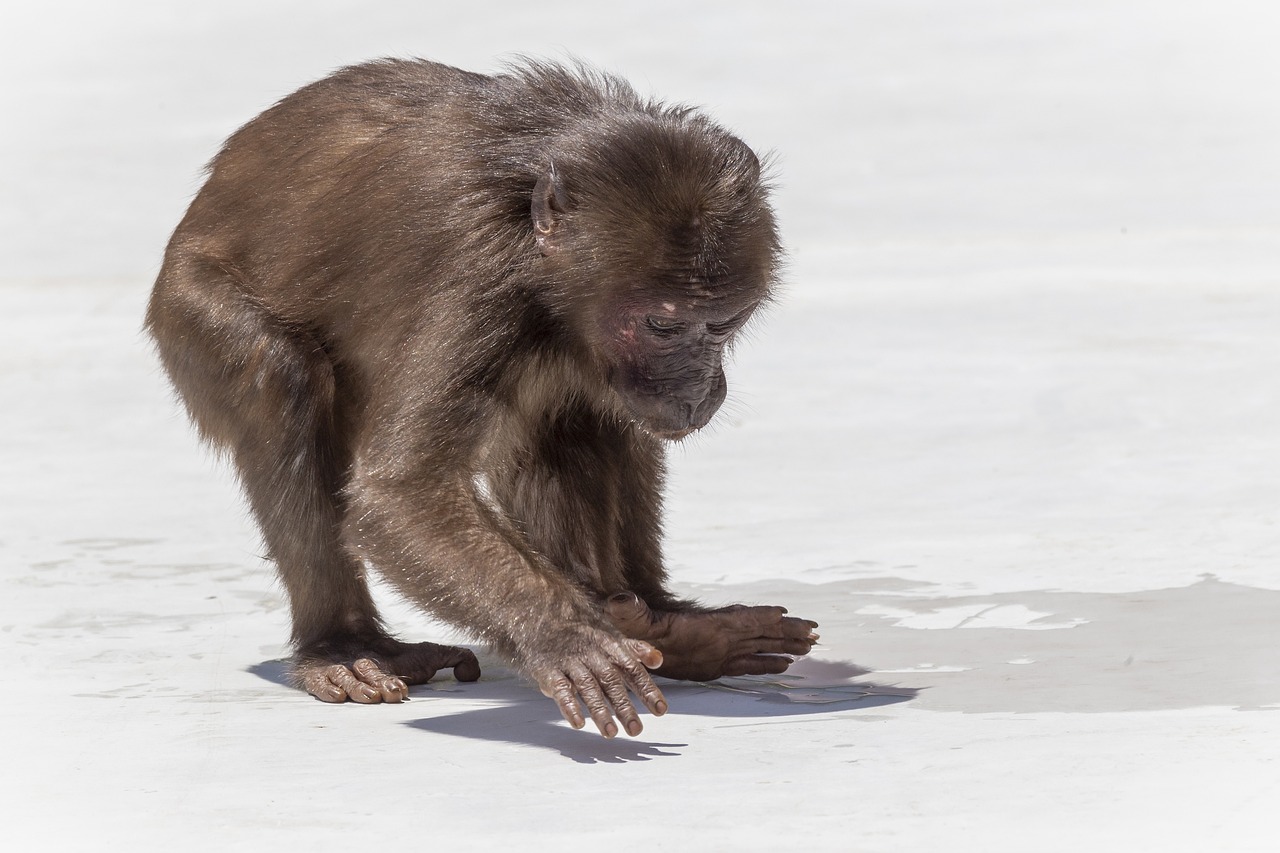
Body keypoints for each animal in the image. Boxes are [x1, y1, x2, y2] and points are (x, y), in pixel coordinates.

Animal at [142, 56, 819, 732]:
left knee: (570, 415)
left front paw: (654, 628)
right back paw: (343, 644)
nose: (697, 387)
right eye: (663, 326)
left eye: (723, 325)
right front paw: (564, 637)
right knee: (279, 376)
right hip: (185, 305)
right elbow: (399, 495)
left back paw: (660, 622)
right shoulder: (479, 276)